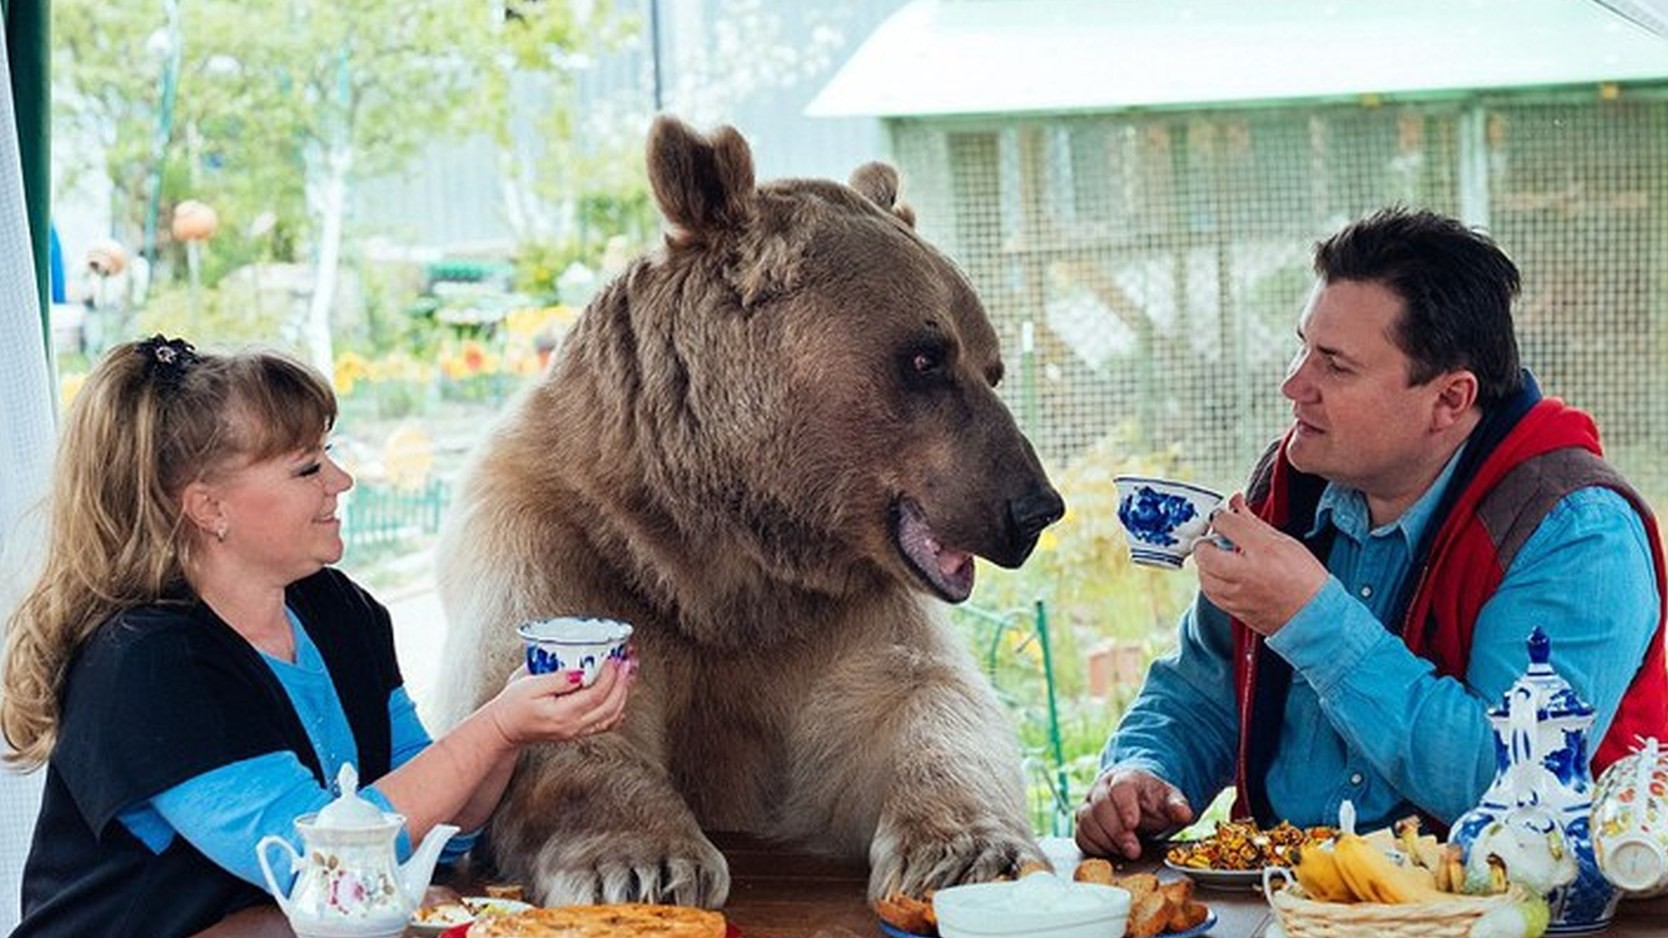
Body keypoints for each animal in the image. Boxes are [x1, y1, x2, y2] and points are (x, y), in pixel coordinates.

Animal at [437, 115, 1060, 907]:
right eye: (926, 357)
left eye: (991, 367)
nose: (1035, 506)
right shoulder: (562, 540)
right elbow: (545, 713)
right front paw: (644, 863)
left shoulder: (835, 614)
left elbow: (918, 704)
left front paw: (970, 851)